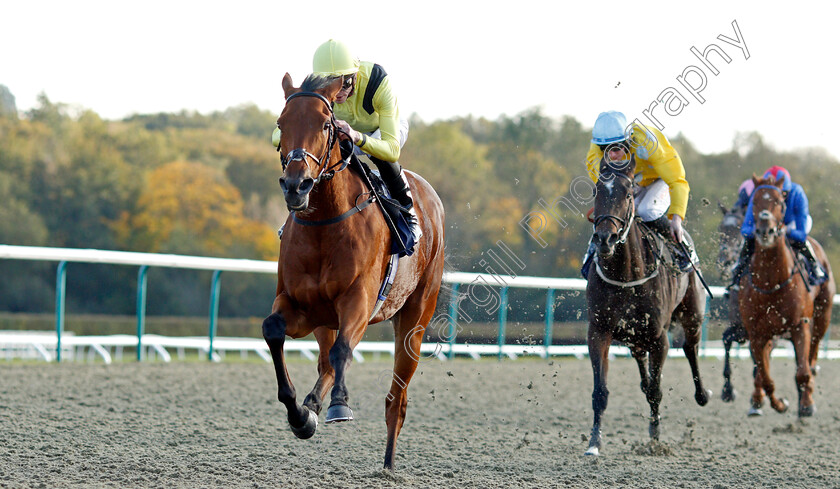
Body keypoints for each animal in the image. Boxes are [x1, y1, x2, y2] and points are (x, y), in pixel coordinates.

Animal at [264, 72, 446, 468]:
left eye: (326, 124)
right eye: (281, 124)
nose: (296, 185)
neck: (324, 224)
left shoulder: (359, 302)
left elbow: (343, 350)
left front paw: (338, 406)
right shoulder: (301, 306)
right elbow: (274, 330)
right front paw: (300, 414)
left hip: (415, 317)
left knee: (396, 398)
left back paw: (388, 464)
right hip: (324, 320)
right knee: (325, 362)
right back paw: (313, 407)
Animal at [584, 154, 708, 456]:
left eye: (627, 194)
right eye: (595, 192)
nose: (604, 239)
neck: (625, 274)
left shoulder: (658, 337)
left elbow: (656, 391)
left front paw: (654, 438)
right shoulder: (599, 331)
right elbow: (600, 392)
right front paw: (594, 443)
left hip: (692, 314)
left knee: (690, 348)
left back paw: (702, 394)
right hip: (634, 336)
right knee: (641, 360)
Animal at [740, 174, 832, 416]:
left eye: (780, 203)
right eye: (754, 203)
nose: (765, 230)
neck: (771, 282)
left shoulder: (800, 324)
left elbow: (803, 371)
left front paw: (806, 404)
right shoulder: (756, 333)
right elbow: (765, 377)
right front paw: (779, 403)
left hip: (822, 318)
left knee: (812, 358)